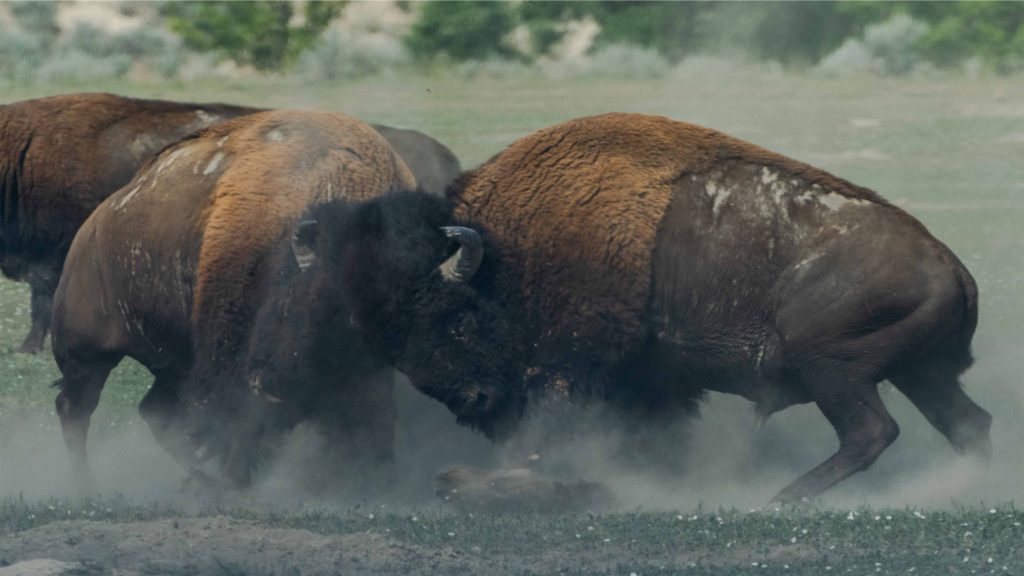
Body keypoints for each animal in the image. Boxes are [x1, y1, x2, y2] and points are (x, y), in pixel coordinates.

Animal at [51, 109, 416, 489]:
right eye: (287, 308)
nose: (271, 385)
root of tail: (92, 226)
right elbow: (237, 420)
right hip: (86, 354)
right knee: (75, 408)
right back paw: (87, 482)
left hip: (172, 363)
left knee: (154, 411)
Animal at [244, 112, 993, 503]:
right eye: (390, 339)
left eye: (453, 316)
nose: (474, 400)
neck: (507, 249)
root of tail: (953, 268)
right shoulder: (651, 380)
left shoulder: (570, 364)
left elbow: (557, 422)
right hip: (919, 373)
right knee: (966, 423)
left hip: (833, 368)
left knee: (871, 431)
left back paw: (778, 498)